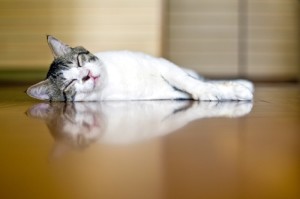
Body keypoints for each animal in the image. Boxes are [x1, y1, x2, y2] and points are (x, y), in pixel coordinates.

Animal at [26, 35, 253, 102]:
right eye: (69, 84)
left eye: (80, 62)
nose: (87, 75)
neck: (114, 78)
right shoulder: (166, 94)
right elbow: (190, 89)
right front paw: (226, 93)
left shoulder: (163, 65)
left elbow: (190, 81)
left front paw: (226, 90)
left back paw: (242, 84)